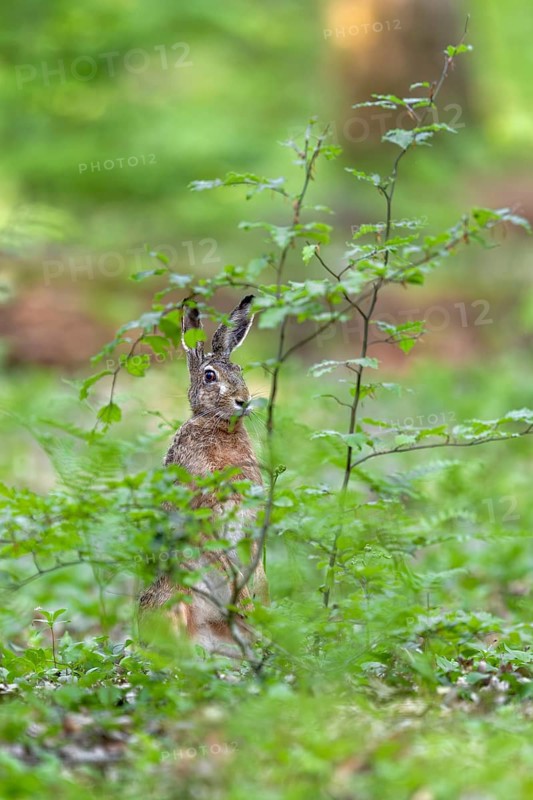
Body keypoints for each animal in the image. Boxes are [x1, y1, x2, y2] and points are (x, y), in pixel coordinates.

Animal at [139, 295, 268, 658]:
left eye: (239, 371)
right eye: (210, 376)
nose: (243, 401)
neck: (219, 425)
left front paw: (259, 603)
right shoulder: (206, 520)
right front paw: (249, 604)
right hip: (172, 601)